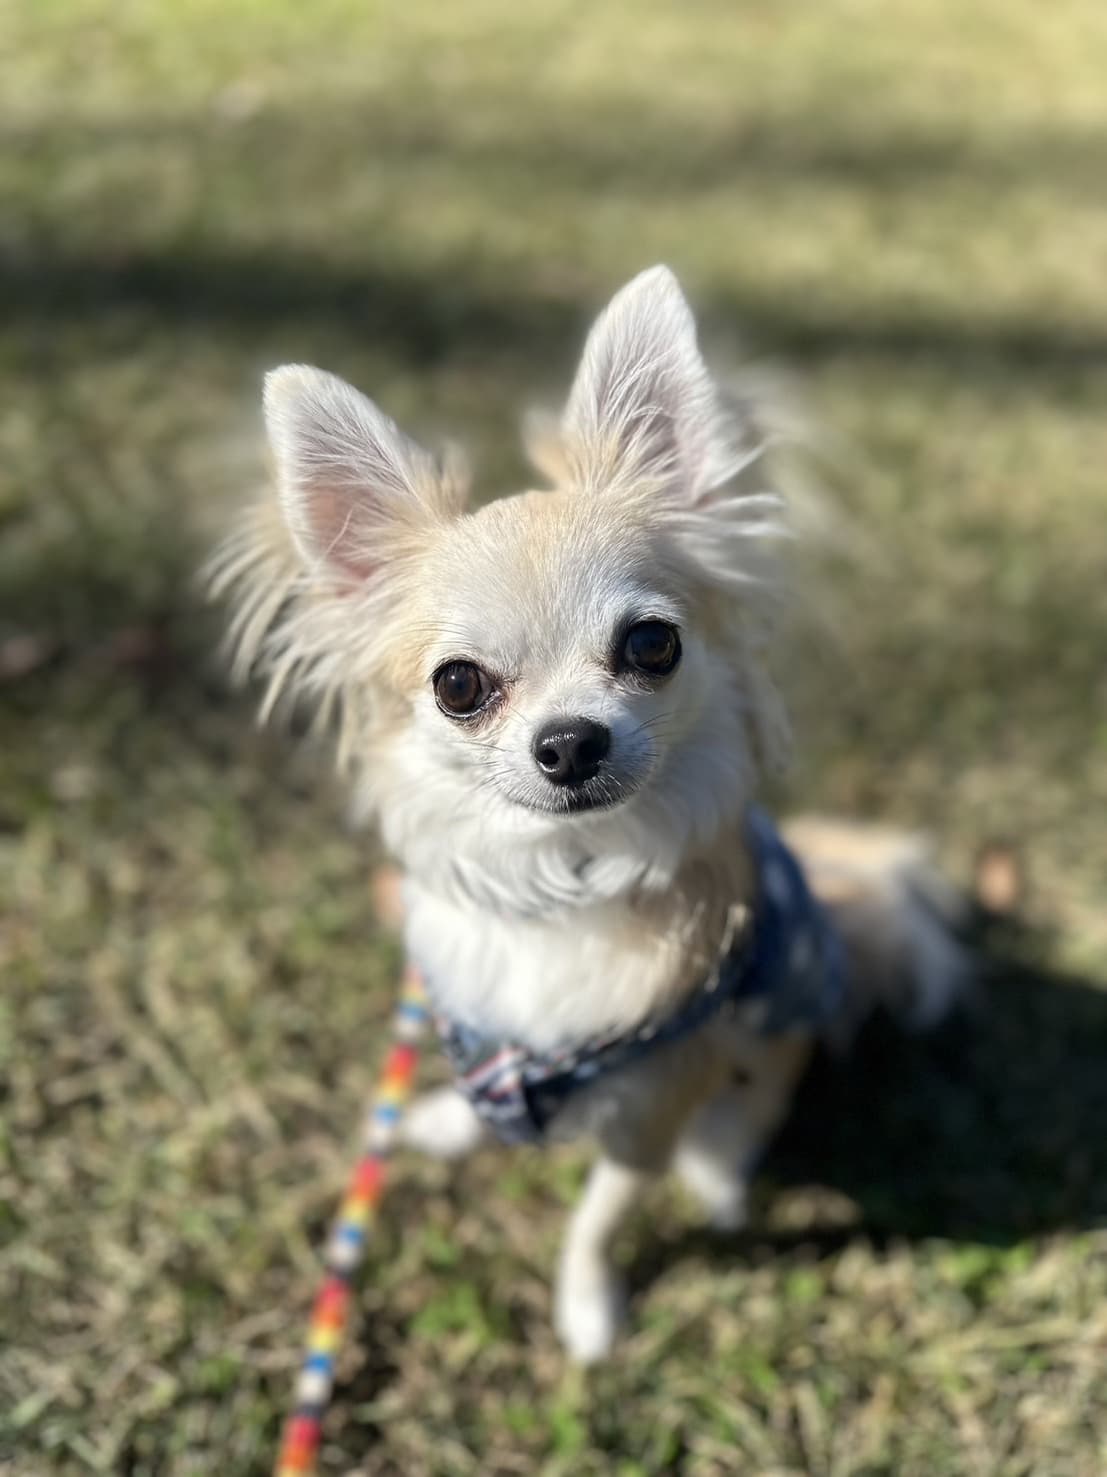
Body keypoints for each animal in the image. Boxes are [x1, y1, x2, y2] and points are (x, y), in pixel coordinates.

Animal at [209, 265, 969, 1358]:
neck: (563, 880)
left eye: (652, 644)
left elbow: (599, 1215)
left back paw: (722, 1177)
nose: (569, 742)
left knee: (739, 1127)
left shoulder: (652, 1104)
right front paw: (462, 1129)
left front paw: (587, 1310)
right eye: (459, 685)